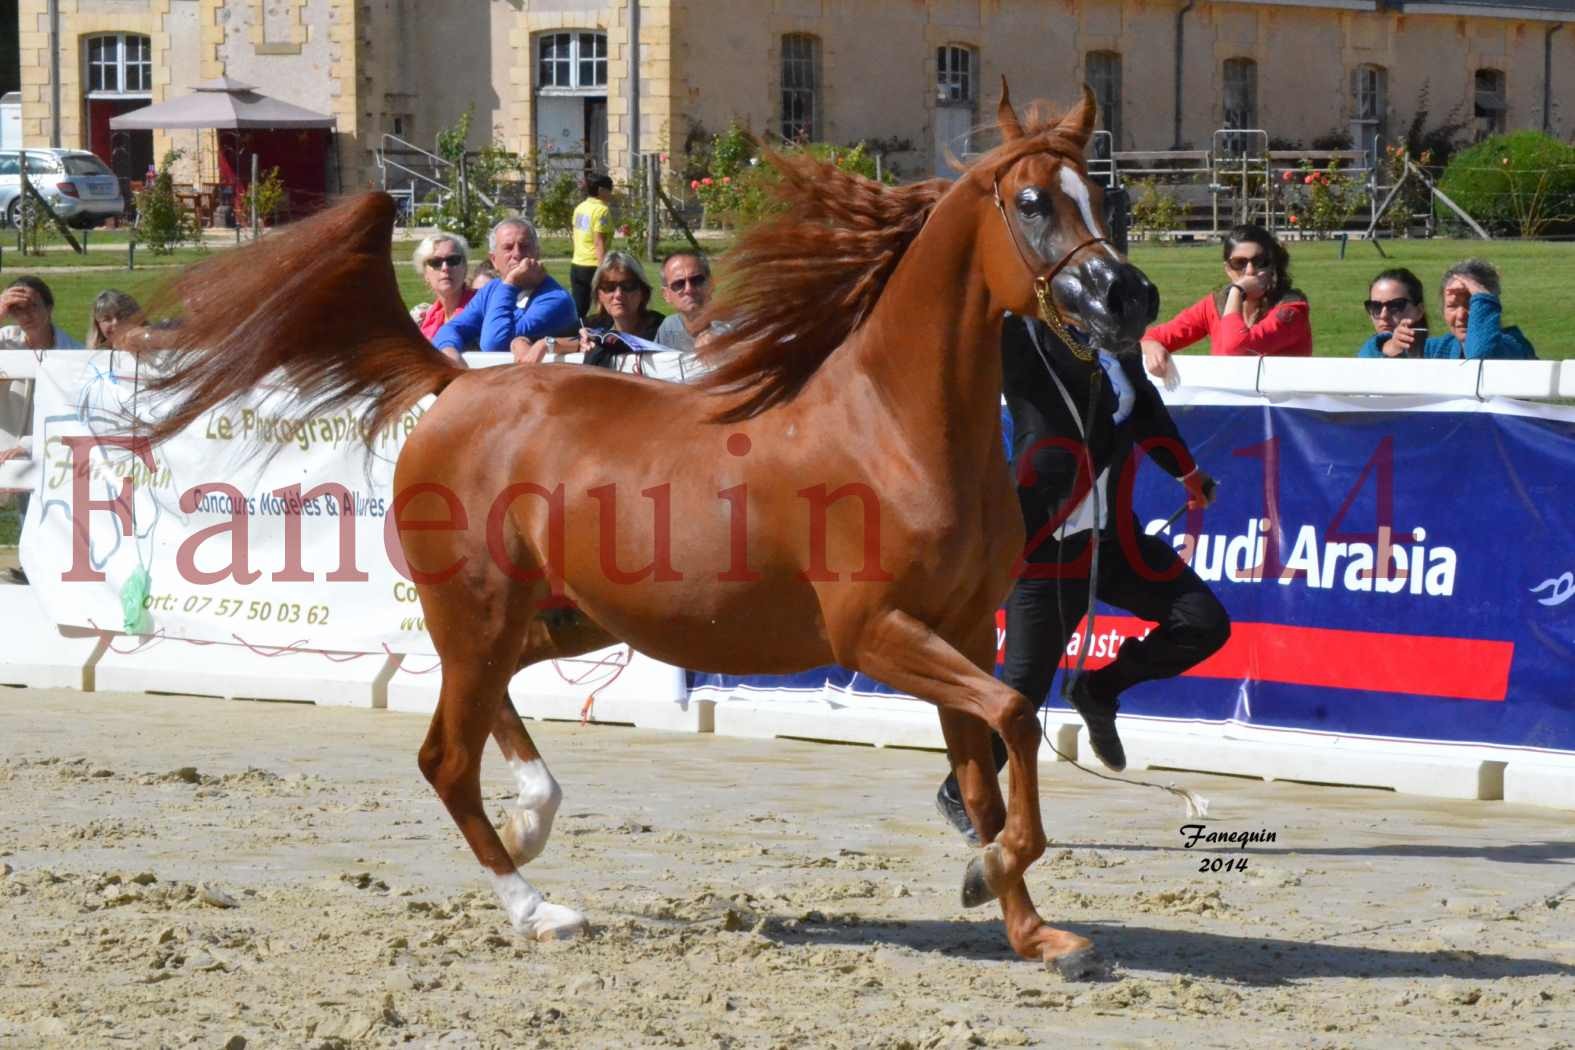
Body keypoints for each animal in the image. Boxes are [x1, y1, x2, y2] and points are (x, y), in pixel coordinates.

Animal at [144, 86, 1159, 976]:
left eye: (1098, 191)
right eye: (1030, 202)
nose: (1129, 299)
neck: (896, 428)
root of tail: (458, 381)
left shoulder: (964, 630)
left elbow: (987, 771)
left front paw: (1032, 931)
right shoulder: (875, 634)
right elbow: (1016, 719)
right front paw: (990, 876)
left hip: (561, 619)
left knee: (489, 710)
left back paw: (534, 815)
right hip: (480, 611)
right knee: (445, 758)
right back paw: (536, 906)